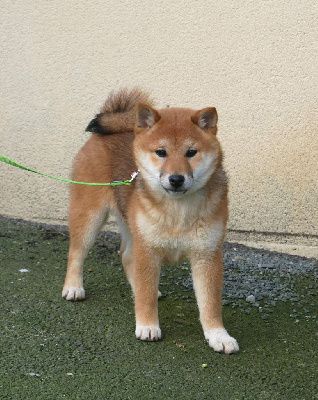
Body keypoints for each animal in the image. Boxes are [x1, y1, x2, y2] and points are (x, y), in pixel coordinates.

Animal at [62, 87, 238, 354]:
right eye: (161, 152)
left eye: (191, 152)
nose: (176, 179)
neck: (178, 210)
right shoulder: (148, 248)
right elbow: (145, 296)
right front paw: (147, 325)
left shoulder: (207, 254)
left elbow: (210, 304)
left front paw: (218, 335)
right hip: (91, 216)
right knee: (77, 252)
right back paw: (73, 287)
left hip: (132, 223)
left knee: (126, 256)